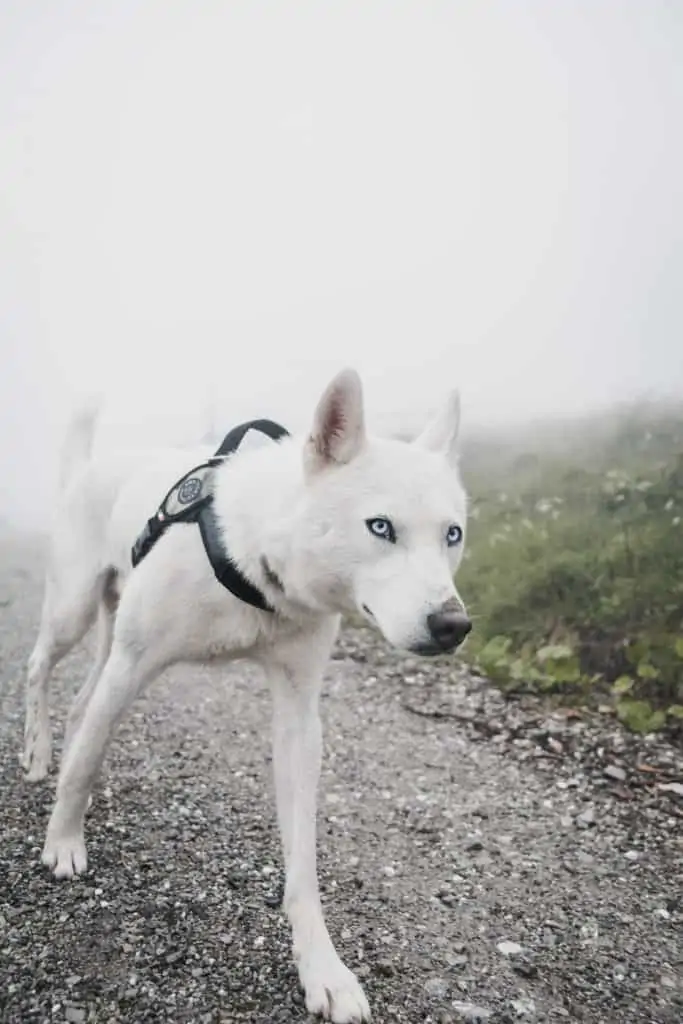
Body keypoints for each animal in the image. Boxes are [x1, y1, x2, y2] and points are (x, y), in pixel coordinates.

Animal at [22, 370, 471, 1024]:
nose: (453, 625)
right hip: (73, 613)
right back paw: (36, 754)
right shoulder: (133, 665)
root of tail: (92, 465)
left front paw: (322, 966)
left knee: (84, 707)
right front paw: (62, 841)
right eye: (380, 527)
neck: (257, 558)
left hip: (105, 641)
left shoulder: (298, 716)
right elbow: (81, 766)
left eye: (453, 535)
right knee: (40, 671)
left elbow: (303, 861)